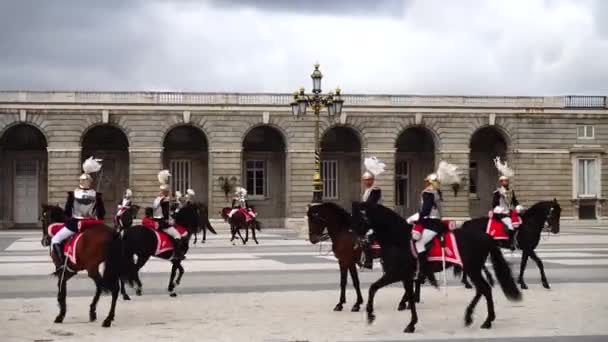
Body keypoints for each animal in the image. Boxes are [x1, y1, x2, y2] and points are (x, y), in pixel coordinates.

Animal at [354, 202, 520, 332]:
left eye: (360, 217)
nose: (359, 239)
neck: (398, 238)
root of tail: (486, 236)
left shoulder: (396, 273)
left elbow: (374, 288)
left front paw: (370, 315)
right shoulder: (405, 275)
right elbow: (407, 296)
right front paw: (411, 322)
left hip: (472, 269)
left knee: (484, 289)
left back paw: (485, 320)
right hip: (473, 269)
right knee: (482, 289)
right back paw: (473, 317)